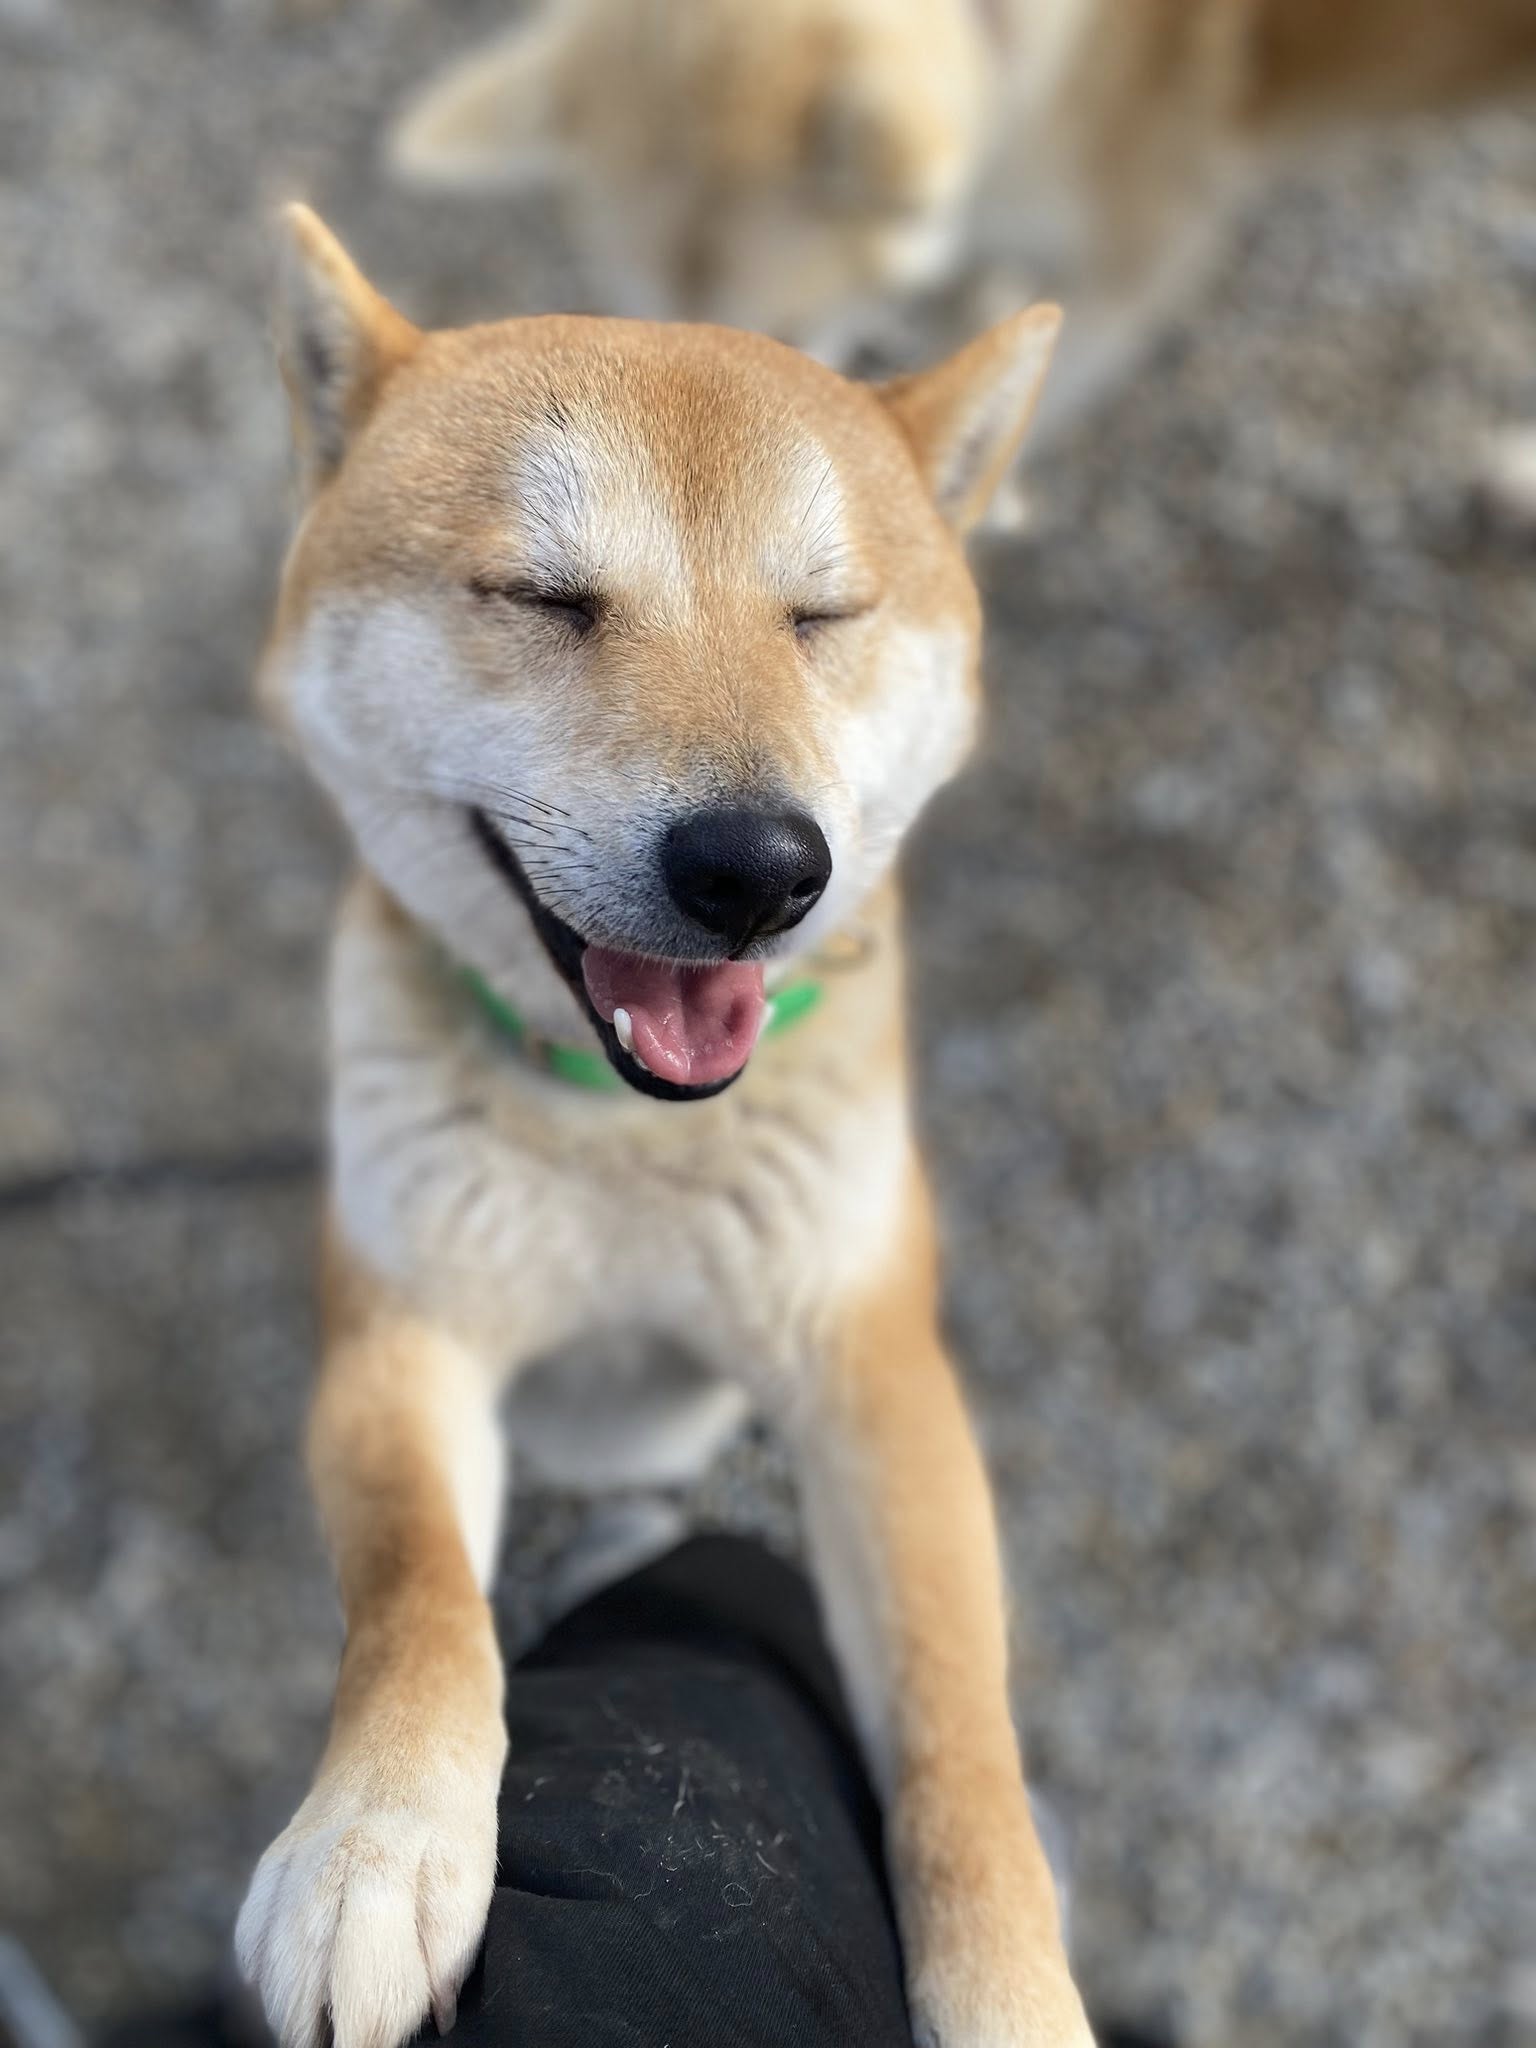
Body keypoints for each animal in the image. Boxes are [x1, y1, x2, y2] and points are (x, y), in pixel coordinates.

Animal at [232, 202, 1089, 2048]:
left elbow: (959, 1734)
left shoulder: (869, 1366)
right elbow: (417, 1596)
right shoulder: (406, 1328)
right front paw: (378, 1839)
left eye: (823, 615)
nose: (758, 867)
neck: (625, 1140)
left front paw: (1011, 1990)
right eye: (542, 598)